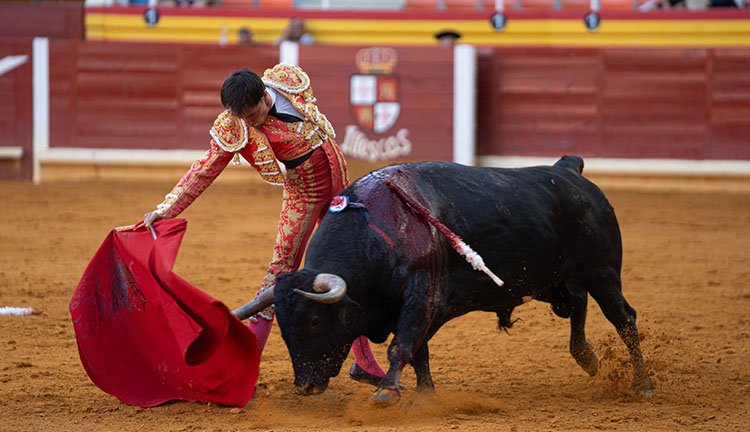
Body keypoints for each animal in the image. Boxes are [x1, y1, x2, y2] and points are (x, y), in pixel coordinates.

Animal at [234, 157, 652, 404]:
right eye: (283, 326)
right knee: (578, 305)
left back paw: (642, 385)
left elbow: (402, 345)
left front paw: (387, 392)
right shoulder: (424, 307)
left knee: (623, 319)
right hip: (554, 282)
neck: (377, 228)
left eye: (316, 321)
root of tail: (568, 170)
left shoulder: (422, 297)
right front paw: (425, 394)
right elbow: (420, 350)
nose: (304, 384)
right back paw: (587, 357)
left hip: (602, 273)